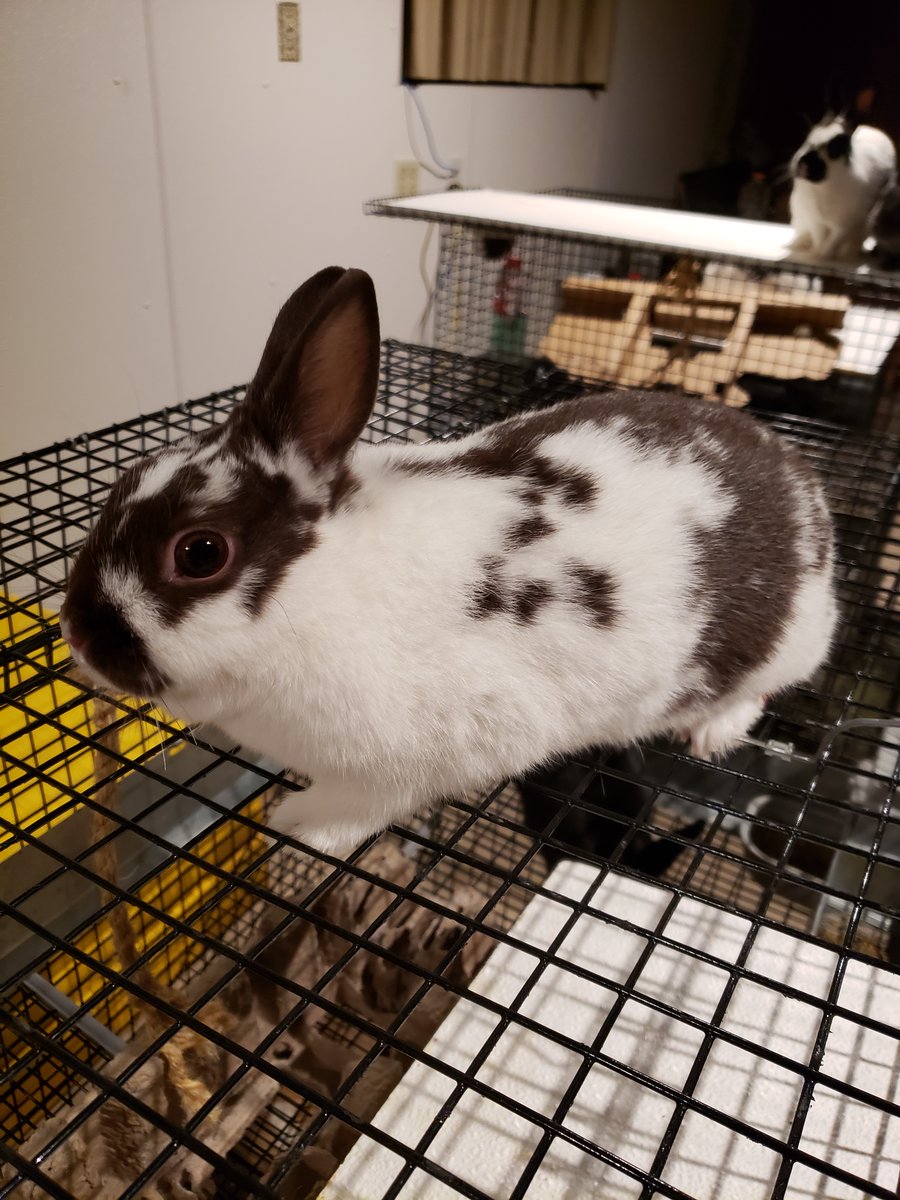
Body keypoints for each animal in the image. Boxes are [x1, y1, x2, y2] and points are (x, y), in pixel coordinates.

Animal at [61, 266, 838, 855]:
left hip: (781, 649)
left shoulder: (424, 759)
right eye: (127, 479)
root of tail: (803, 482)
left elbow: (365, 805)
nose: (79, 635)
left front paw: (301, 827)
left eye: (200, 553)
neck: (319, 588)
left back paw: (711, 732)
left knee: (758, 692)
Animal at [789, 114, 896, 261]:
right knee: (805, 234)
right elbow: (819, 238)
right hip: (800, 216)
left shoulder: (844, 225)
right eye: (807, 140)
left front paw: (824, 256)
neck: (823, 188)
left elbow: (832, 241)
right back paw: (799, 245)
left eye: (834, 149)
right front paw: (816, 254)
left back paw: (849, 255)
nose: (802, 164)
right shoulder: (815, 221)